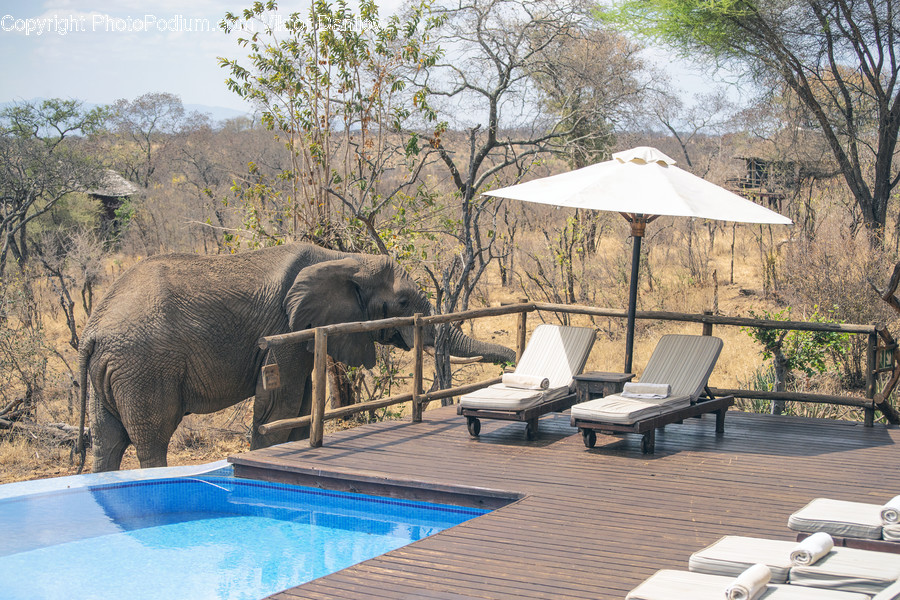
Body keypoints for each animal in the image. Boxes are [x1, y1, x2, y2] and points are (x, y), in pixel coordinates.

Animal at [77, 243, 515, 472]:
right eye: (404, 302)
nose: (510, 361)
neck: (342, 256)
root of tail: (93, 330)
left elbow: (302, 405)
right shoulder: (285, 328)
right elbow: (281, 405)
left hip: (113, 370)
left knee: (107, 440)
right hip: (143, 367)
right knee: (151, 438)